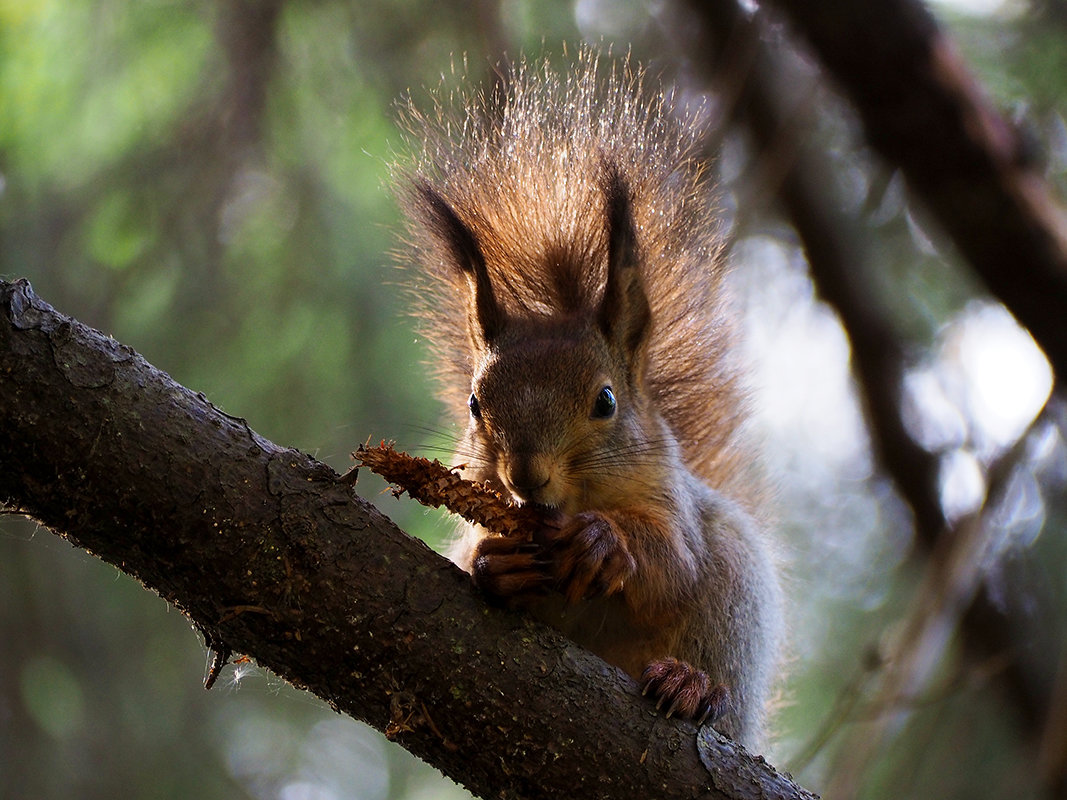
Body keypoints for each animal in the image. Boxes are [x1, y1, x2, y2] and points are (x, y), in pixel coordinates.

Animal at [396, 53, 781, 750]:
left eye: (606, 401)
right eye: (473, 404)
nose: (525, 476)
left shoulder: (672, 505)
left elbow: (672, 561)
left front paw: (605, 544)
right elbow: (475, 557)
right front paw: (497, 564)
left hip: (737, 603)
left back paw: (693, 687)